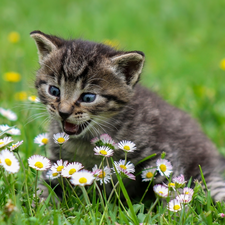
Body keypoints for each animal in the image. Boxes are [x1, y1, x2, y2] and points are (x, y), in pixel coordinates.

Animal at [30, 30, 225, 202]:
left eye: (88, 98)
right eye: (54, 90)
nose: (63, 112)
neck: (86, 141)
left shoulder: (161, 154)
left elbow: (169, 187)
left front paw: (174, 212)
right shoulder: (56, 161)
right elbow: (44, 186)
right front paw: (41, 205)